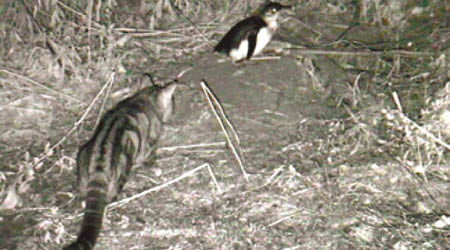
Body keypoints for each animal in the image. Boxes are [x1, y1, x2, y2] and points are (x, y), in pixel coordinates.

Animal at [62, 82, 178, 250]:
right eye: (172, 103)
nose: (174, 109)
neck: (142, 99)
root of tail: (98, 168)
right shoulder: (149, 145)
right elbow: (149, 159)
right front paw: (154, 168)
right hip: (122, 170)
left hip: (82, 159)